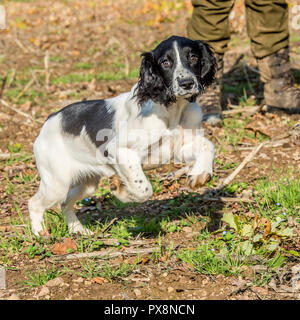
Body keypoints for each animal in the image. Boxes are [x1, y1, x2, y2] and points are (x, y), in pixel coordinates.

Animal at [28, 35, 216, 235]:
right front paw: (122, 191)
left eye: (193, 57)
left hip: (86, 184)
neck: (171, 110)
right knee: (35, 203)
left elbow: (208, 145)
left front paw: (200, 174)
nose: (187, 83)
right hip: (57, 183)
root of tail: (49, 121)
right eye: (165, 62)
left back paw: (78, 230)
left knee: (65, 203)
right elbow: (144, 189)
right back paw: (41, 234)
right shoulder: (120, 150)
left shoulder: (180, 147)